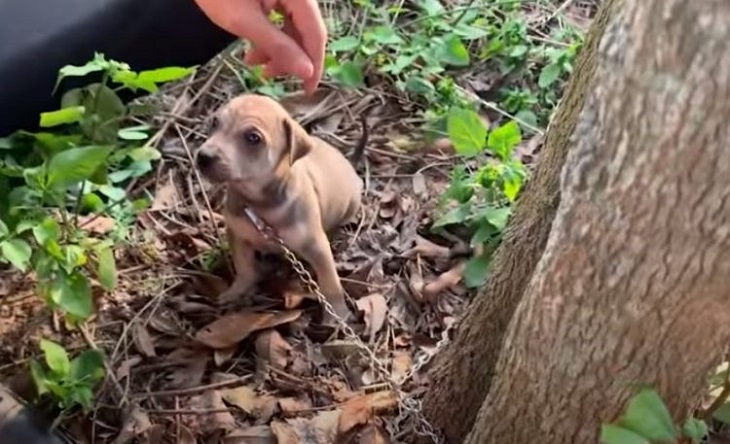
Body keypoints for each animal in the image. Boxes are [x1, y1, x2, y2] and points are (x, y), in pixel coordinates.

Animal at [195, 92, 362, 324]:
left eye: (253, 138)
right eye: (215, 122)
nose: (203, 157)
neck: (261, 203)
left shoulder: (317, 247)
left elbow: (331, 283)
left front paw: (337, 313)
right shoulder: (237, 234)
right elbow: (244, 268)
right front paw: (237, 291)